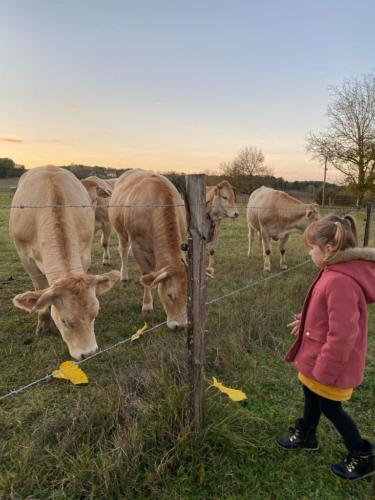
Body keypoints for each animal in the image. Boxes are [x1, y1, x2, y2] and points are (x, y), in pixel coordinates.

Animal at [9, 167, 120, 360]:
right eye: (63, 321)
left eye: (94, 314)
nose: (88, 353)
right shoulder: (25, 257)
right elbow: (39, 290)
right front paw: (43, 324)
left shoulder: (85, 249)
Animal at [108, 170, 187, 330]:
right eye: (169, 295)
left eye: (188, 296)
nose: (180, 326)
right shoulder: (138, 246)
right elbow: (146, 275)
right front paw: (147, 305)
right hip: (121, 232)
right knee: (123, 251)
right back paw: (124, 276)